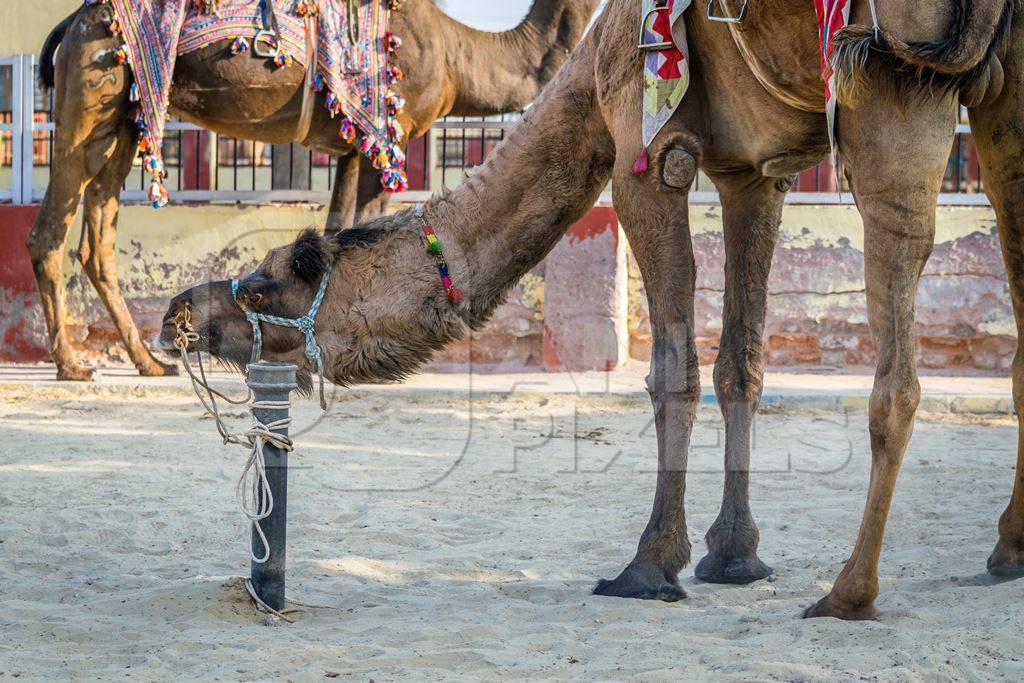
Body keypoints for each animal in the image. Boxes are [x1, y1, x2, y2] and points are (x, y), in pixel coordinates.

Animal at [28, 0, 598, 385]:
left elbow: (338, 227)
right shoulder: (386, 135)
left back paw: (147, 362)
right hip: (92, 89)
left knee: (97, 236)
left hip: (125, 119)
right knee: (49, 230)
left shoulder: (350, 147)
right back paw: (72, 365)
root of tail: (70, 24)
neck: (459, 56)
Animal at [153, 0, 1024, 618]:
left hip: (887, 74)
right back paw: (1006, 552)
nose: (178, 312)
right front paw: (734, 556)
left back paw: (851, 590)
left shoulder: (644, 142)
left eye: (269, 281)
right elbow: (740, 363)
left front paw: (651, 563)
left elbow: (674, 368)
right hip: (1004, 89)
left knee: (898, 364)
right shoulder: (753, 171)